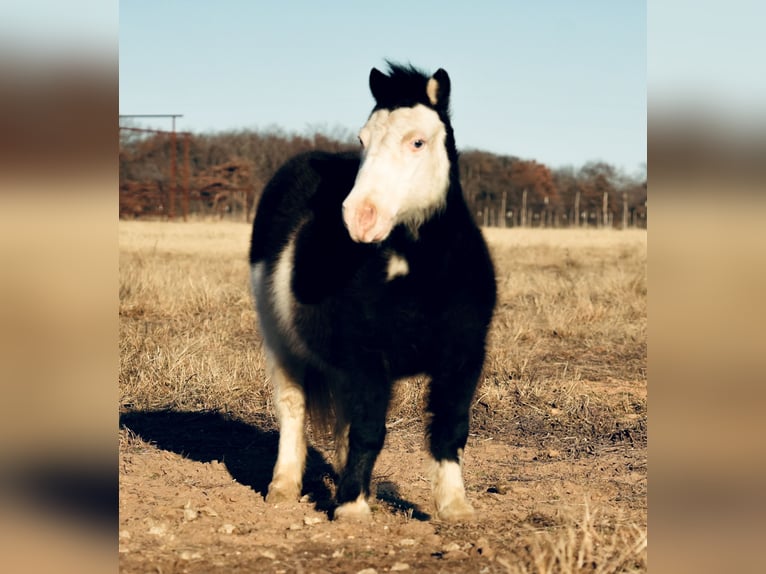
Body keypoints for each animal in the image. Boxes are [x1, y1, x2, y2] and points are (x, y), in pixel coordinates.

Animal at [249, 63, 496, 520]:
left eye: (417, 141)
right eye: (363, 139)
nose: (360, 217)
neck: (419, 274)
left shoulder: (464, 356)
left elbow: (450, 427)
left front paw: (454, 506)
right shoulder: (366, 358)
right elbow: (368, 430)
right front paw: (351, 508)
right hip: (279, 340)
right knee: (293, 407)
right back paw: (283, 487)